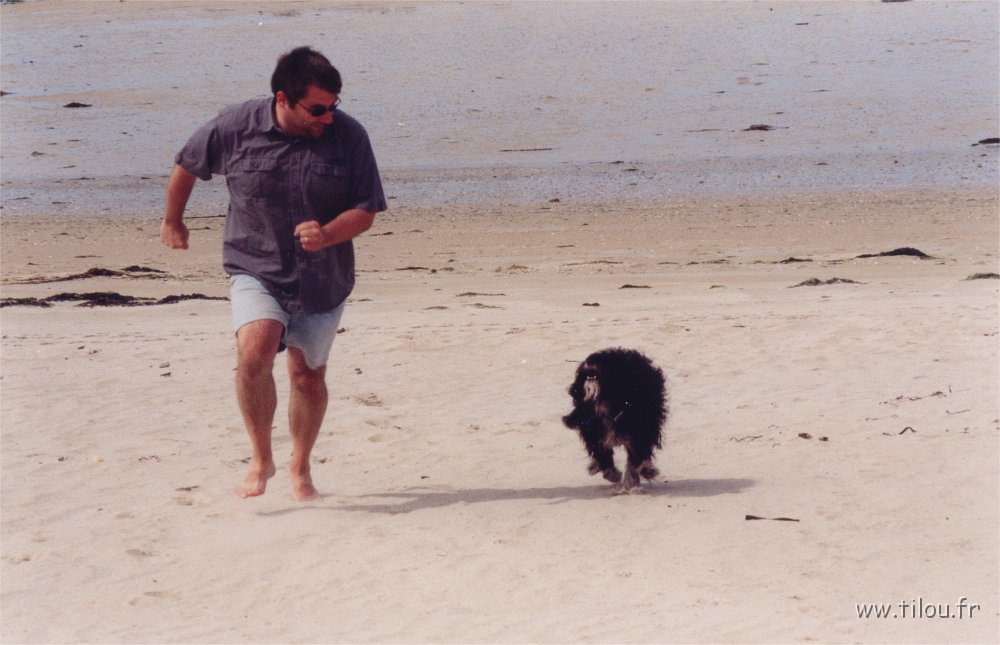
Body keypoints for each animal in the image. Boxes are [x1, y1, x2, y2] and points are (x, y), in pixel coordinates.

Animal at [562, 348, 668, 494]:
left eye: (606, 364)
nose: (590, 365)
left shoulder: (639, 433)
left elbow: (635, 460)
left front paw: (631, 483)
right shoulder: (593, 433)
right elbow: (603, 455)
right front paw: (613, 475)